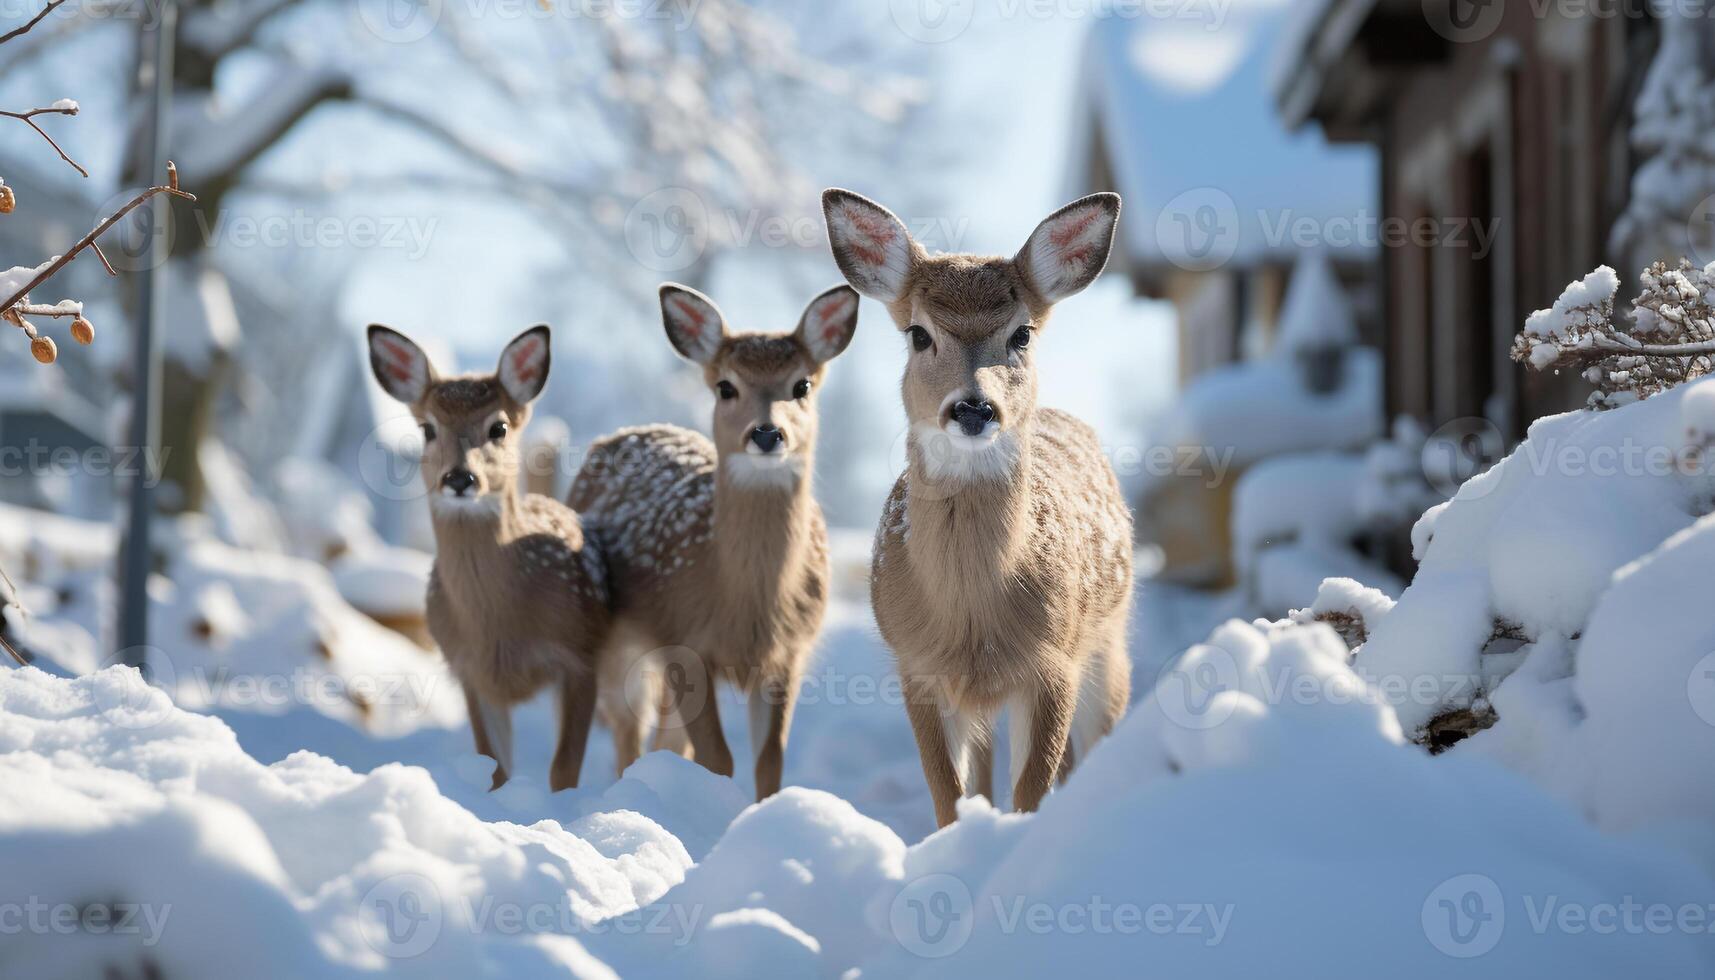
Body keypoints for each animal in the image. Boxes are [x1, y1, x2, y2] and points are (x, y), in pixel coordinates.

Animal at [365, 326, 613, 792]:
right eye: (427, 429)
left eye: (498, 427)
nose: (460, 478)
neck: (497, 628)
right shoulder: (470, 671)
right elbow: (494, 766)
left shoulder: (579, 654)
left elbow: (564, 769)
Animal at [569, 279, 857, 799]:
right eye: (727, 387)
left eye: (801, 385)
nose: (767, 433)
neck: (744, 604)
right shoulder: (685, 637)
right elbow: (718, 758)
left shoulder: (788, 654)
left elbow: (769, 761)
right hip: (617, 640)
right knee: (628, 731)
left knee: (662, 738)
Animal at [819, 186, 1131, 827]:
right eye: (918, 334)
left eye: (1022, 334)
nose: (973, 408)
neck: (970, 618)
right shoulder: (916, 665)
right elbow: (948, 792)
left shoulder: (1054, 659)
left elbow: (1033, 786)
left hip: (1109, 643)